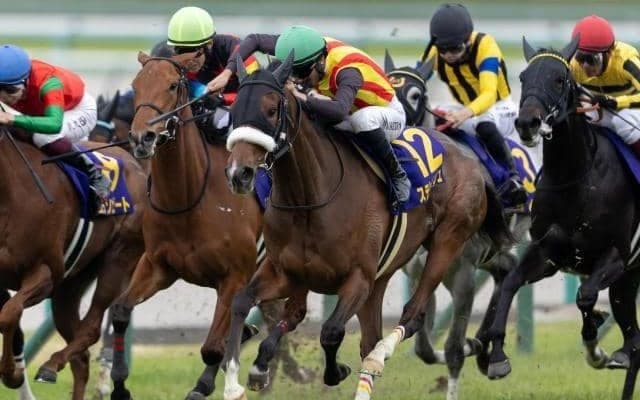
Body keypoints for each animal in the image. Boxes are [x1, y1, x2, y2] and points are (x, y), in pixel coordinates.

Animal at [0, 128, 146, 400]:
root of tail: (136, 165)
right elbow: (11, 320)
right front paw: (13, 373)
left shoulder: (46, 273)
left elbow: (9, 313)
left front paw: (11, 374)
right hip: (70, 286)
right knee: (81, 359)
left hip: (118, 259)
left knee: (91, 328)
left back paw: (50, 365)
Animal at [112, 51, 309, 400]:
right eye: (136, 85)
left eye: (172, 85)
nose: (141, 138)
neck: (189, 197)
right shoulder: (157, 266)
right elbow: (121, 311)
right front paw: (120, 386)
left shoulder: (233, 277)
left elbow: (213, 347)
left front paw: (204, 385)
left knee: (292, 312)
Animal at [221, 53, 513, 400]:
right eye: (235, 111)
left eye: (270, 109)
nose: (239, 174)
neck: (310, 196)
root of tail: (473, 162)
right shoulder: (285, 272)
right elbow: (243, 303)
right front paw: (239, 379)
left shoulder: (358, 278)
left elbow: (331, 331)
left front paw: (335, 371)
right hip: (381, 277)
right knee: (360, 333)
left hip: (448, 243)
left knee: (411, 316)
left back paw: (385, 353)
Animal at [384, 51, 536, 400]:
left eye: (415, 95)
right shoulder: (417, 272)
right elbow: (423, 348)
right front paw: (468, 346)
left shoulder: (463, 275)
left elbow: (453, 348)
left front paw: (463, 352)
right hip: (490, 252)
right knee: (506, 270)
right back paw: (482, 346)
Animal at [485, 37, 640, 400]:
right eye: (523, 76)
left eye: (559, 79)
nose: (527, 123)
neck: (576, 177)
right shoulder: (549, 253)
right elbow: (511, 282)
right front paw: (497, 355)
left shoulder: (616, 255)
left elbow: (585, 295)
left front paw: (594, 343)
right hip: (629, 279)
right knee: (635, 340)